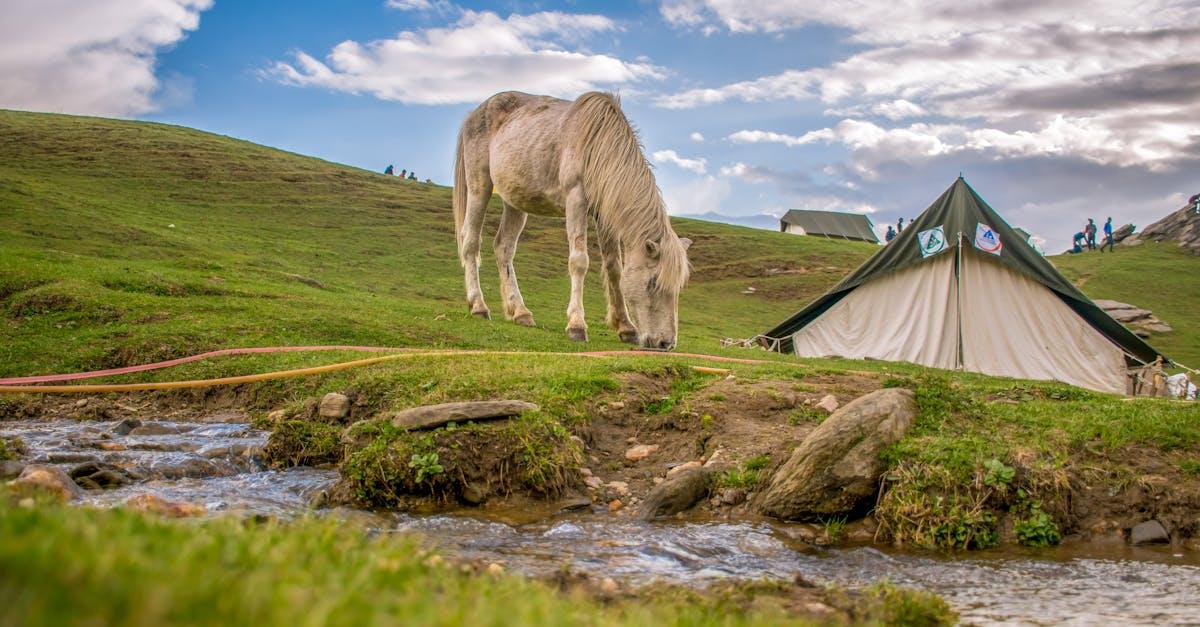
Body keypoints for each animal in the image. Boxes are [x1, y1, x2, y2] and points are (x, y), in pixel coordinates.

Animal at [451, 90, 696, 348]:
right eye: (653, 283)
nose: (666, 344)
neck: (597, 143)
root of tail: (475, 113)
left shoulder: (603, 214)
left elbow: (614, 267)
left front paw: (625, 326)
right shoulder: (575, 199)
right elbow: (579, 262)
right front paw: (577, 325)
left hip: (515, 201)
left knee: (504, 248)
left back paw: (520, 312)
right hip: (479, 186)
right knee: (471, 242)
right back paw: (478, 306)